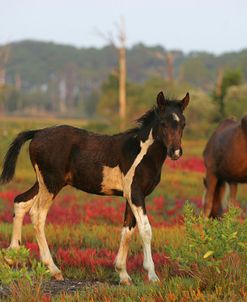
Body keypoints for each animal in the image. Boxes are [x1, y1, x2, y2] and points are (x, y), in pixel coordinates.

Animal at [0, 91, 189, 284]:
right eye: (163, 123)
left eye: (183, 123)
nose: (175, 152)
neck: (141, 153)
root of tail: (38, 132)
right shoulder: (136, 195)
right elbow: (145, 230)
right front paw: (152, 275)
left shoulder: (131, 196)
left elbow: (127, 231)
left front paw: (123, 274)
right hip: (51, 184)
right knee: (37, 215)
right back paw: (54, 269)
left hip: (42, 183)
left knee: (20, 202)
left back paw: (11, 255)